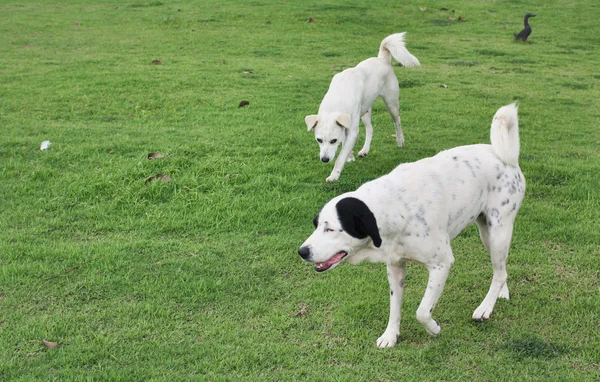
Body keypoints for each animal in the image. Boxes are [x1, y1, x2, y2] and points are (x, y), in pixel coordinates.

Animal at [298, 104, 524, 350]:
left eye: (331, 229)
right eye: (316, 225)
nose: (302, 251)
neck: (390, 208)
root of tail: (507, 157)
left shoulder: (441, 264)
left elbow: (422, 311)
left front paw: (434, 329)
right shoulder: (395, 265)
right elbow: (394, 307)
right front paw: (390, 335)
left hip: (499, 230)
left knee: (499, 271)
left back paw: (485, 308)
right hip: (486, 232)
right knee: (501, 269)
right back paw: (501, 293)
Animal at [302, 32, 420, 182]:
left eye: (333, 141)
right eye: (319, 140)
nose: (325, 159)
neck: (338, 98)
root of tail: (383, 59)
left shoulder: (352, 129)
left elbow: (340, 156)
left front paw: (334, 174)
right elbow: (346, 144)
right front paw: (350, 156)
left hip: (391, 103)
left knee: (397, 121)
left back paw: (400, 140)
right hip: (365, 110)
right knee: (370, 128)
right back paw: (365, 150)